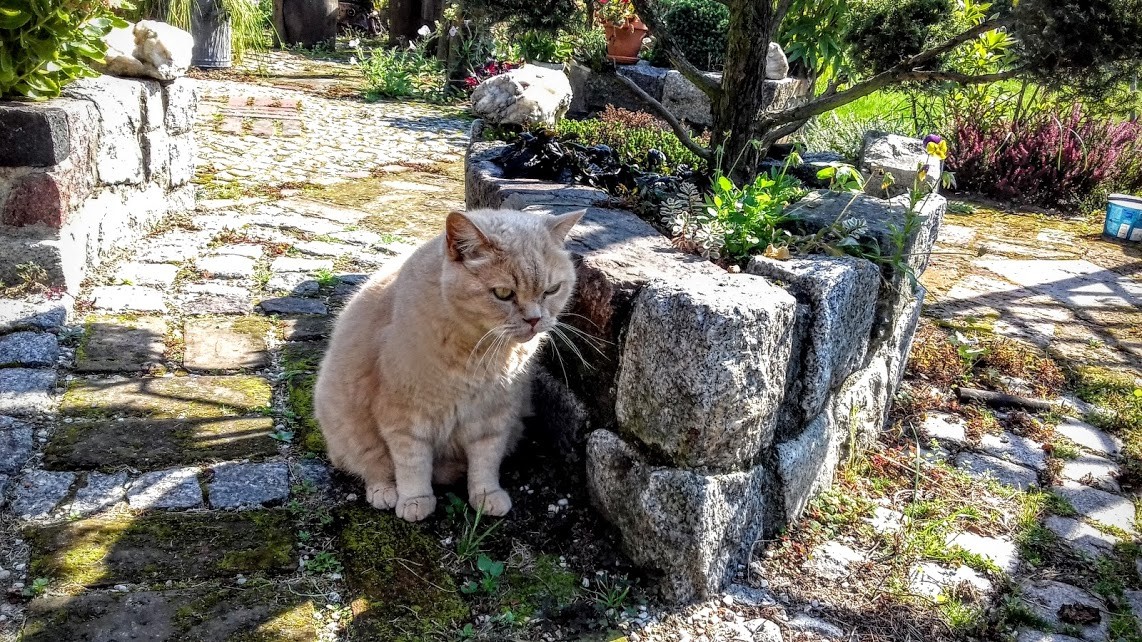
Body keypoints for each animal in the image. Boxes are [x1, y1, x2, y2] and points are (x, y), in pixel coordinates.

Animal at [310, 209, 580, 520]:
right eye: (502, 293)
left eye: (552, 290)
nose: (535, 319)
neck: (480, 353)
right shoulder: (403, 416)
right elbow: (412, 463)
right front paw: (415, 500)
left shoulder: (495, 413)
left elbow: (485, 461)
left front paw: (486, 495)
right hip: (348, 427)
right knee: (373, 466)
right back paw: (384, 492)